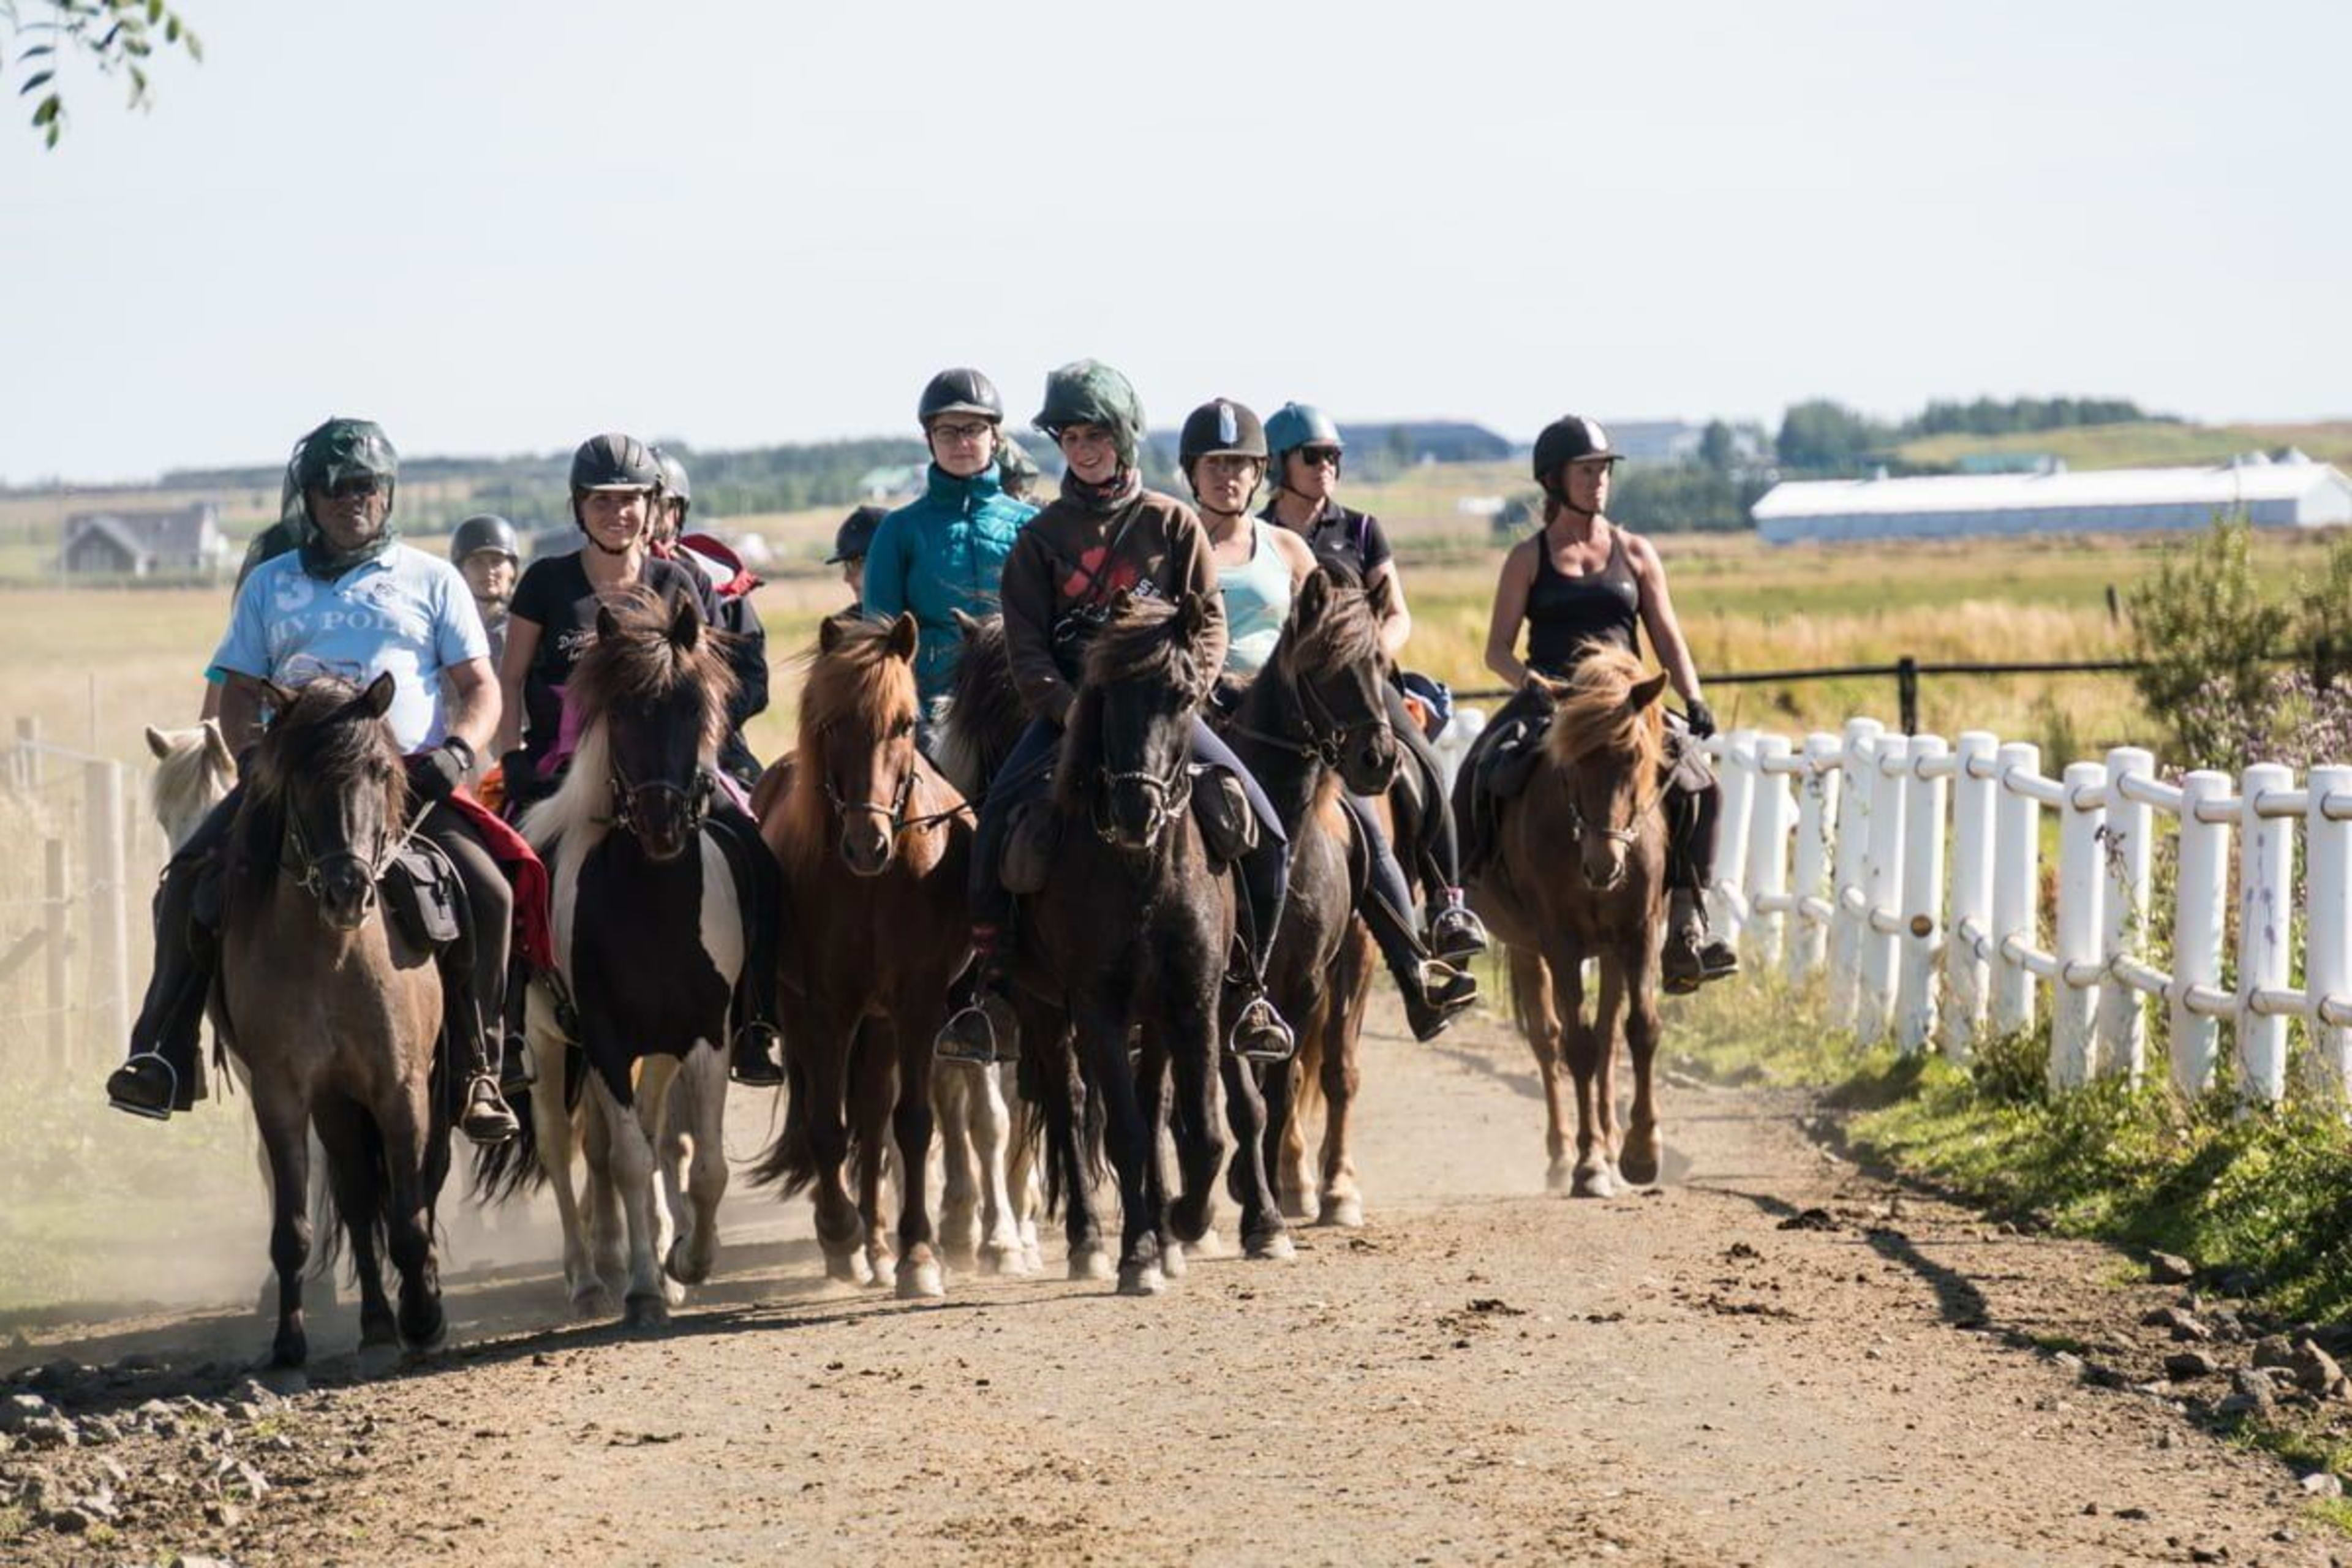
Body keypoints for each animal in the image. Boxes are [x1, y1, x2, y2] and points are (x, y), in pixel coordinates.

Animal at [221, 677, 458, 1373]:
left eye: (380, 769)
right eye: (299, 776)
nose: (348, 890)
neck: (333, 958)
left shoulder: (401, 1088)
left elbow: (409, 1220)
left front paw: (425, 1317)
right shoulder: (284, 1094)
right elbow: (295, 1229)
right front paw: (288, 1343)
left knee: (423, 1189)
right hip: (336, 1104)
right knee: (355, 1202)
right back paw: (377, 1322)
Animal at [503, 587, 743, 1325]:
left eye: (693, 706)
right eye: (621, 713)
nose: (663, 823)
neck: (653, 905)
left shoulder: (706, 1033)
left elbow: (704, 1164)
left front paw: (687, 1261)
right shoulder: (604, 1037)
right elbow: (631, 1161)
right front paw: (641, 1289)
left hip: (658, 1048)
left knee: (647, 1131)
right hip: (549, 1044)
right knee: (564, 1146)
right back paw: (588, 1278)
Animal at [752, 620, 992, 1297]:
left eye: (905, 723)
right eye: (833, 723)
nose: (868, 844)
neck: (871, 887)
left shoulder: (916, 1006)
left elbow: (908, 1124)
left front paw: (917, 1255)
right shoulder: (823, 1009)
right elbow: (826, 1129)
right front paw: (839, 1236)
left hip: (881, 1023)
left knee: (873, 1114)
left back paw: (882, 1243)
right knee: (842, 1115)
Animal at [1223, 571, 1401, 1260]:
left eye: (1380, 663)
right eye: (1321, 665)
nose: (1379, 759)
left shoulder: (1307, 981)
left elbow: (1288, 1085)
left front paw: (1279, 1197)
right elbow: (1245, 1096)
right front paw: (1258, 1206)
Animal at [1468, 649, 1675, 1204]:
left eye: (1634, 757)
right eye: (1572, 763)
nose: (1603, 867)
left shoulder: (1640, 932)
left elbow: (1641, 1029)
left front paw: (1641, 1152)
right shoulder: (1559, 942)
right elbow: (1576, 1046)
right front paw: (1588, 1165)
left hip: (1610, 950)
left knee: (1609, 1036)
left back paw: (1612, 1141)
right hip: (1528, 948)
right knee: (1549, 1040)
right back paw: (1565, 1154)